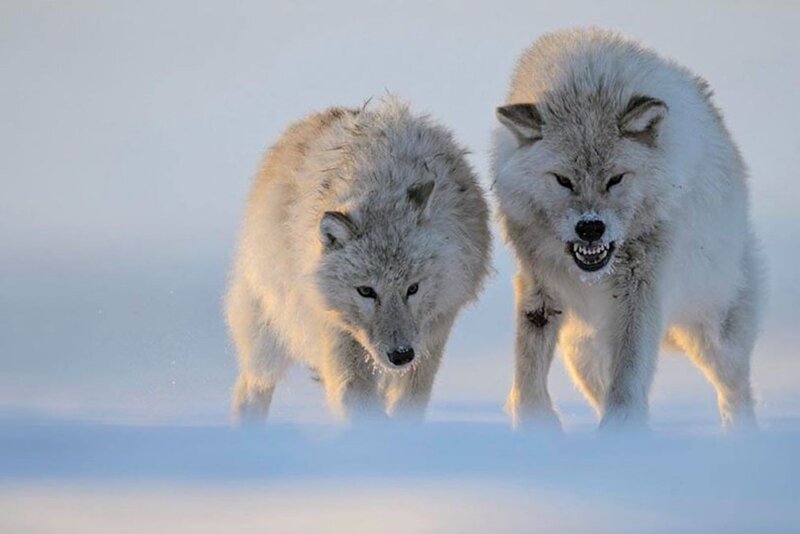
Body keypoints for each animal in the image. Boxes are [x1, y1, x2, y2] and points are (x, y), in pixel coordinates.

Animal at [226, 98, 491, 422]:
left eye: (413, 288)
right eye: (366, 291)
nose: (401, 354)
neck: (381, 180)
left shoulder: (434, 330)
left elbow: (407, 403)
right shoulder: (337, 332)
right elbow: (356, 399)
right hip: (270, 333)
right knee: (251, 386)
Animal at [492, 28, 762, 430]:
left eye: (616, 179)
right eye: (563, 180)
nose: (590, 228)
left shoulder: (641, 291)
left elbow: (628, 376)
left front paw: (620, 434)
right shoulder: (539, 287)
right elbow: (528, 368)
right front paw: (536, 424)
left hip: (711, 334)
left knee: (734, 388)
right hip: (581, 350)